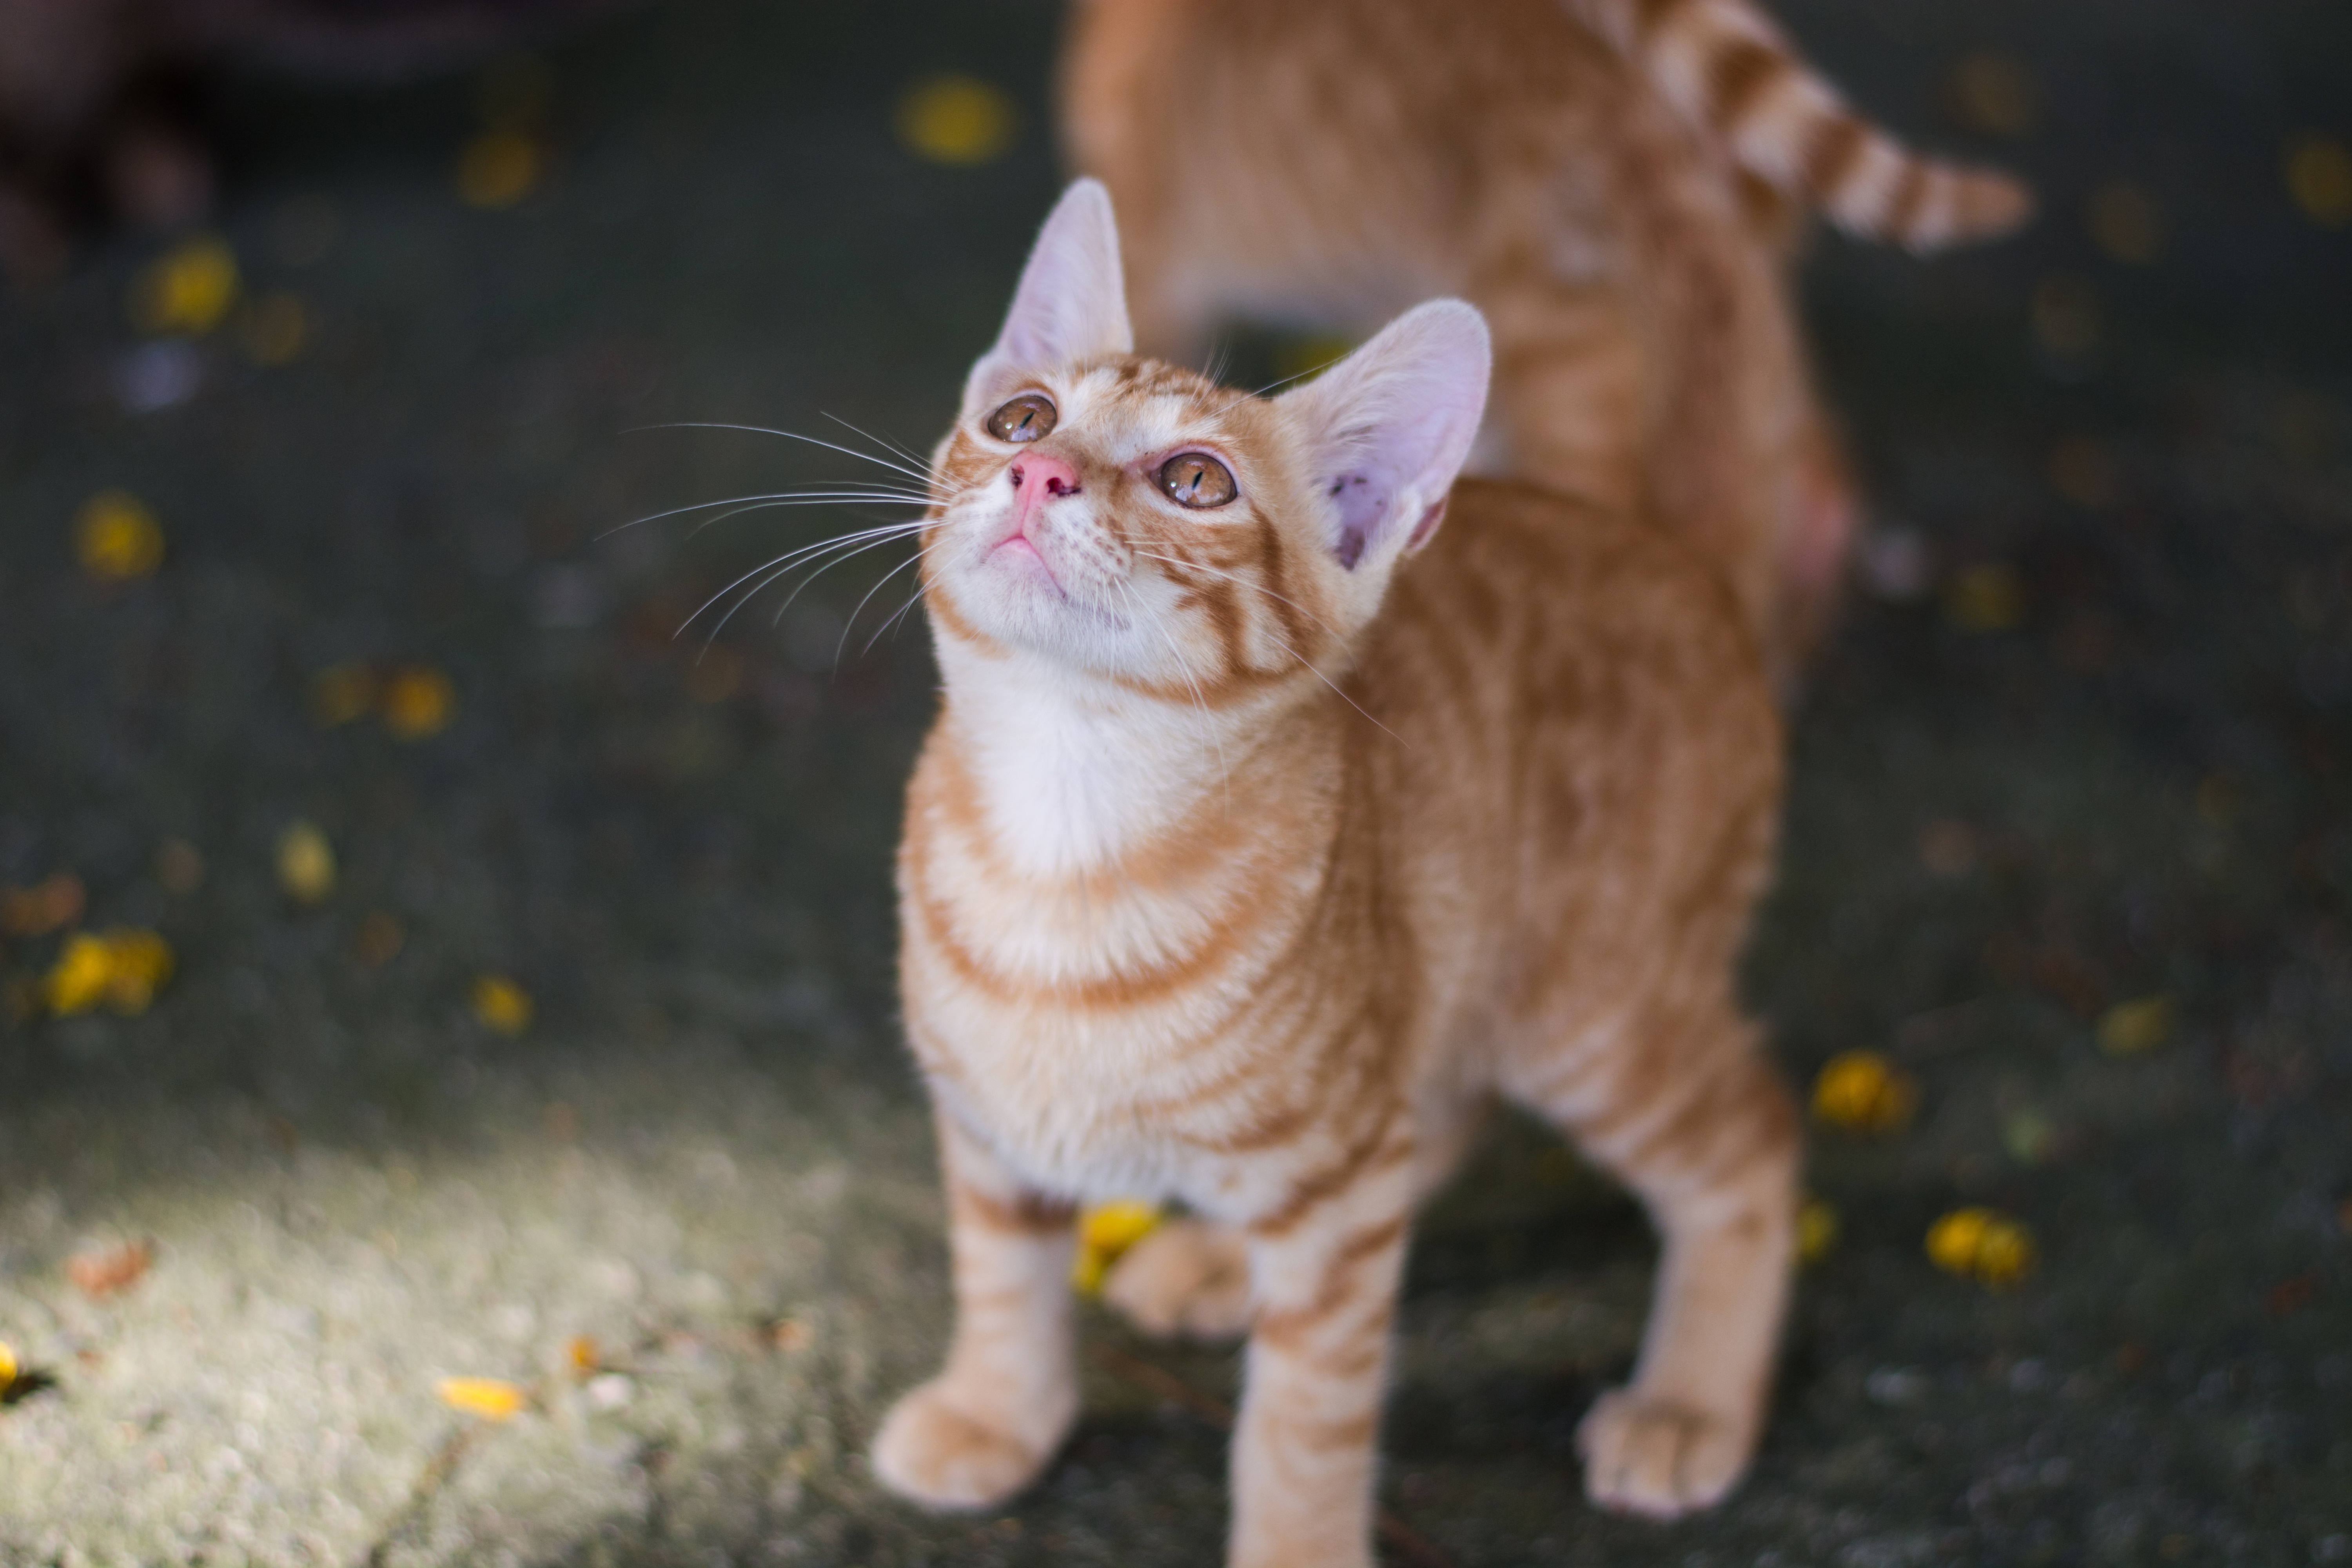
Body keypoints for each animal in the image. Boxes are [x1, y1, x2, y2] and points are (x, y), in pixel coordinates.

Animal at [875, 181, 1788, 1561]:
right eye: (1021, 416)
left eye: (1194, 479)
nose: (1038, 469)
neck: (1062, 828)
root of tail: (1672, 554)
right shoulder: (988, 1124)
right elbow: (1001, 1271)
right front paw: (998, 1411)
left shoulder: (1341, 1196)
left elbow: (1306, 1409)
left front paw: (1295, 1543)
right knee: (1437, 1110)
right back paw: (1216, 1257)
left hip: (1593, 1015)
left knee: (1747, 1151)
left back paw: (1691, 1402)